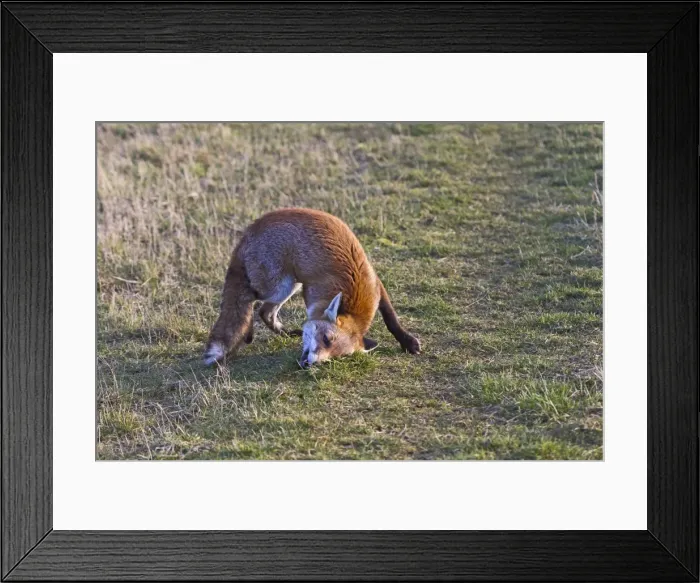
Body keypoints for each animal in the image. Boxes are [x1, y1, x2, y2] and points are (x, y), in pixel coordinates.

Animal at [203, 208, 420, 367]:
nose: (311, 363)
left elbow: (391, 318)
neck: (354, 301)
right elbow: (391, 317)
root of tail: (250, 229)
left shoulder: (377, 286)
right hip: (281, 285)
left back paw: (279, 333)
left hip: (291, 286)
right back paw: (247, 333)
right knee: (251, 302)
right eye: (326, 339)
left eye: (336, 356)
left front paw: (407, 341)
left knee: (265, 312)